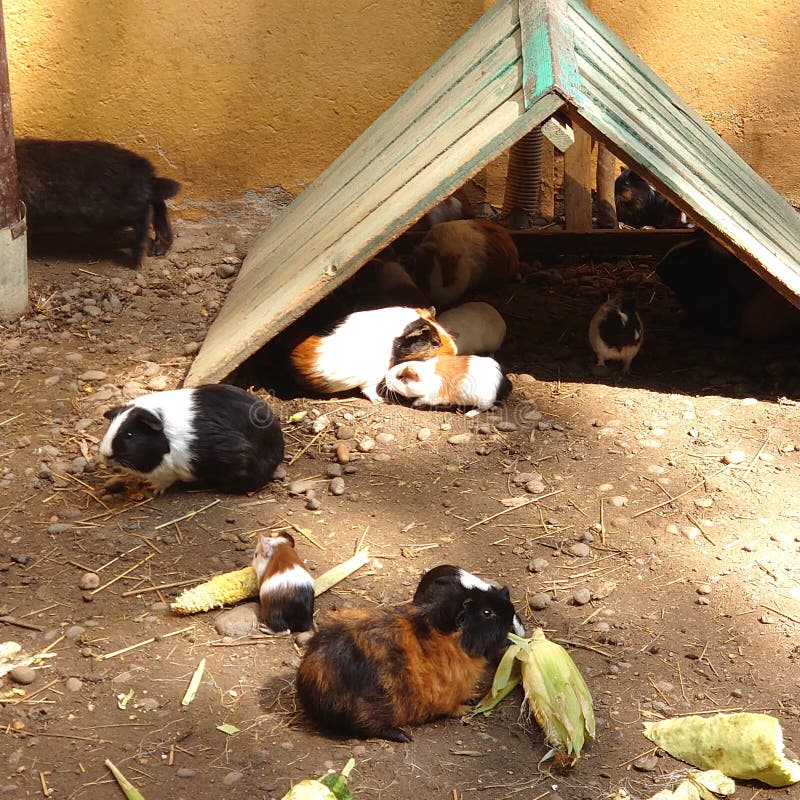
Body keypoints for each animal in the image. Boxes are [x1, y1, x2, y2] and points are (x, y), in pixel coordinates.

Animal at [15, 138, 180, 266]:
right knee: (158, 205)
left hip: (112, 210)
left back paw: (138, 257)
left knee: (145, 213)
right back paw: (160, 246)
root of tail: (147, 174)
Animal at [295, 580, 517, 741]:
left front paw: (473, 698)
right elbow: (453, 707)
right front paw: (467, 709)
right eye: (487, 612)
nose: (511, 610)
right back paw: (404, 736)